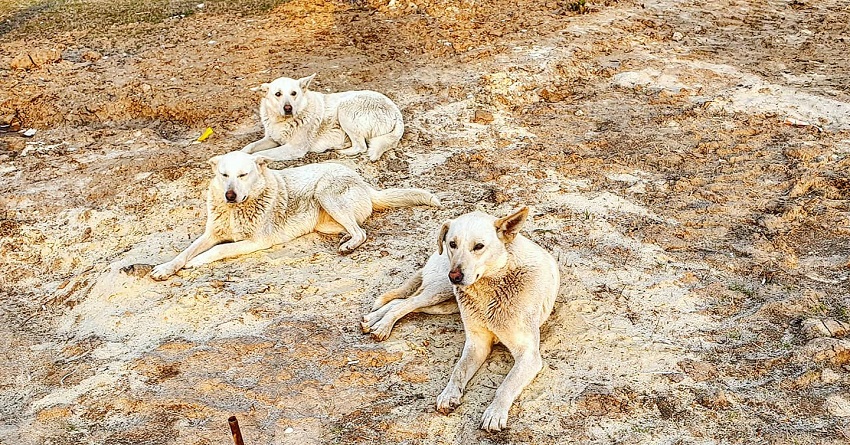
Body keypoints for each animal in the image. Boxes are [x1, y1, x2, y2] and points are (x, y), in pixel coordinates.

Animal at [148, 151, 438, 280]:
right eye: (224, 175)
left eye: (243, 175)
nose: (230, 195)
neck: (235, 210)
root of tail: (365, 184)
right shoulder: (210, 233)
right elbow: (184, 253)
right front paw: (166, 268)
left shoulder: (255, 242)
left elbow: (219, 250)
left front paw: (197, 262)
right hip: (325, 222)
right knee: (355, 226)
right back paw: (345, 237)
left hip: (325, 192)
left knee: (362, 231)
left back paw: (349, 244)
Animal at [240, 73, 402, 162]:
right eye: (277, 94)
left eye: (293, 93)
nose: (288, 108)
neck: (282, 121)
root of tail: (396, 112)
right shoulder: (272, 139)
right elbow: (249, 147)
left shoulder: (294, 148)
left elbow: (260, 153)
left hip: (345, 109)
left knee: (361, 146)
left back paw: (341, 151)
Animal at [362, 207, 560, 430]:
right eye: (452, 244)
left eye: (479, 246)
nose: (455, 276)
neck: (489, 290)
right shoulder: (477, 344)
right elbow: (459, 370)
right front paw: (449, 394)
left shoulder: (528, 355)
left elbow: (506, 384)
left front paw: (494, 412)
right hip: (440, 289)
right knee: (406, 302)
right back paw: (381, 324)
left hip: (445, 303)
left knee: (405, 302)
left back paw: (374, 319)